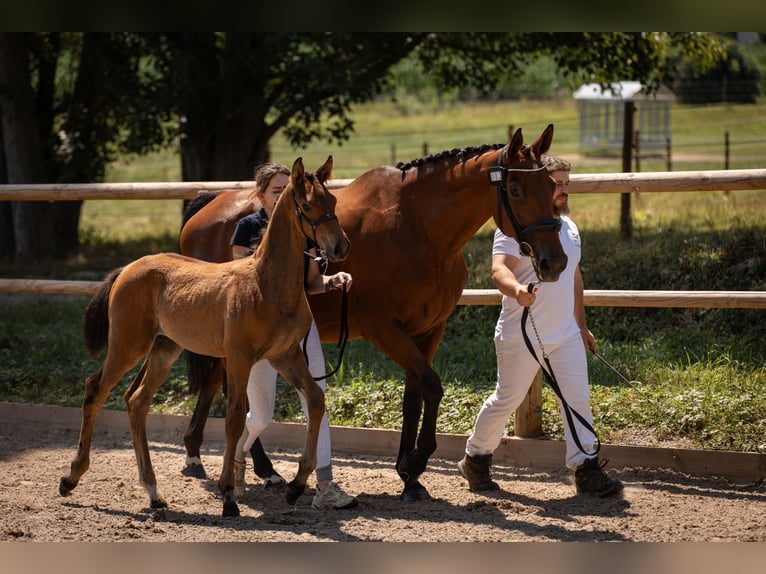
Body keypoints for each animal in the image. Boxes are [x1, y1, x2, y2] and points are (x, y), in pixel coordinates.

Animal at [59, 156, 348, 516]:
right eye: (307, 205)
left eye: (333, 201)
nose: (339, 247)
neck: (267, 285)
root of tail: (127, 269)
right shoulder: (239, 358)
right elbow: (235, 417)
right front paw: (228, 495)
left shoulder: (286, 355)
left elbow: (315, 399)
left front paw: (295, 486)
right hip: (128, 346)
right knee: (95, 390)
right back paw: (71, 477)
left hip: (164, 349)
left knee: (137, 401)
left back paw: (153, 492)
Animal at [177, 124, 568, 502]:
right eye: (515, 190)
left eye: (551, 186)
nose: (555, 262)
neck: (416, 227)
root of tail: (209, 206)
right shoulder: (385, 330)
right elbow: (432, 386)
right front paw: (414, 463)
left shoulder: (429, 329)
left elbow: (414, 396)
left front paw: (410, 479)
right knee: (234, 395)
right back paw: (256, 468)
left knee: (217, 386)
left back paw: (206, 456)